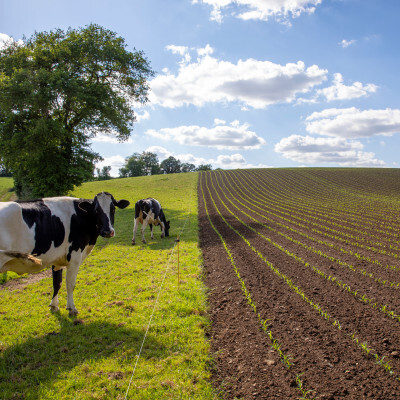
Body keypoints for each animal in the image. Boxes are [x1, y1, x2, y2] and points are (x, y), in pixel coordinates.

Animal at [0, 192, 129, 314]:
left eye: (113, 209)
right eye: (96, 210)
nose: (108, 231)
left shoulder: (57, 258)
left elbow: (57, 283)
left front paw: (54, 306)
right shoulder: (75, 257)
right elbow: (70, 284)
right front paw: (71, 308)